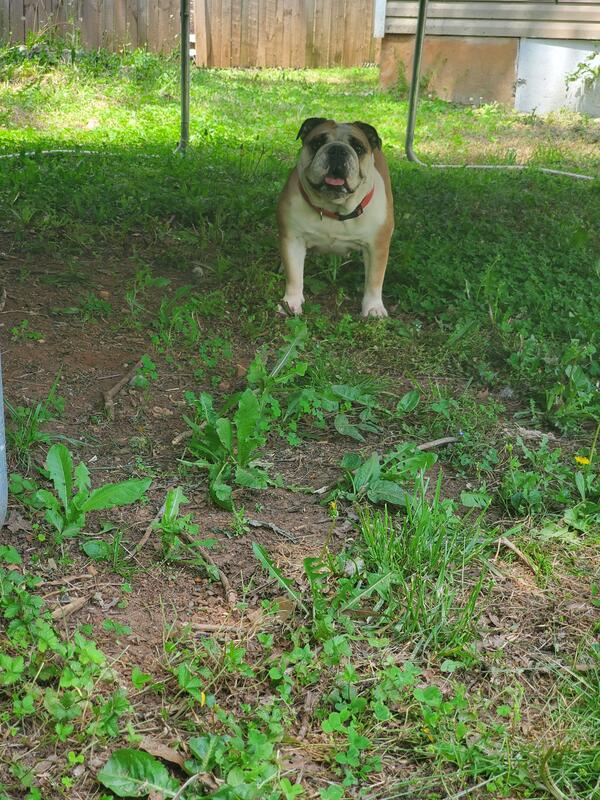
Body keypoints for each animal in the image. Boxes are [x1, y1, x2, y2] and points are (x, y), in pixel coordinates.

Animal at [276, 117, 394, 318]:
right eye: (317, 143)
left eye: (358, 147)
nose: (338, 150)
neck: (334, 208)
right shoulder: (293, 239)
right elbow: (294, 275)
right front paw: (290, 303)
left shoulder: (377, 246)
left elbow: (374, 279)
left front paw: (373, 308)